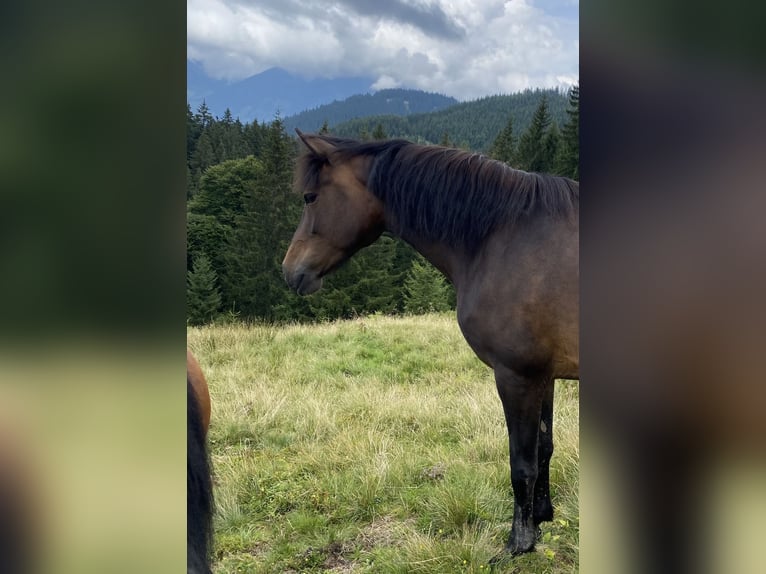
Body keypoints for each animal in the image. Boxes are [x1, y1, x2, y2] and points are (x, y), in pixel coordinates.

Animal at [282, 131, 579, 557]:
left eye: (310, 197)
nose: (290, 271)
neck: (502, 238)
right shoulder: (543, 376)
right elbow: (545, 448)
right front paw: (540, 519)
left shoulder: (516, 377)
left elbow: (522, 462)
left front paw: (518, 543)